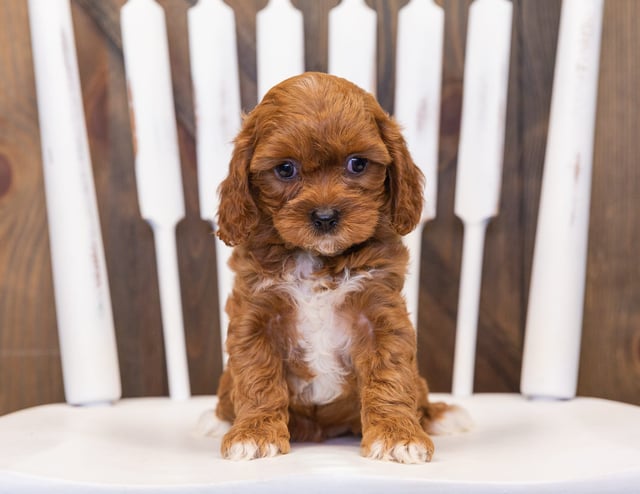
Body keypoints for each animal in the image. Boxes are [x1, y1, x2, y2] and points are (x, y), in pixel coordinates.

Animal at [212, 71, 468, 462]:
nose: (325, 216)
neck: (318, 259)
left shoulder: (381, 314)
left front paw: (397, 436)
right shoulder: (255, 316)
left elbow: (391, 377)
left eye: (357, 164)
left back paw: (437, 416)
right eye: (285, 169)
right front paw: (254, 433)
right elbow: (257, 379)